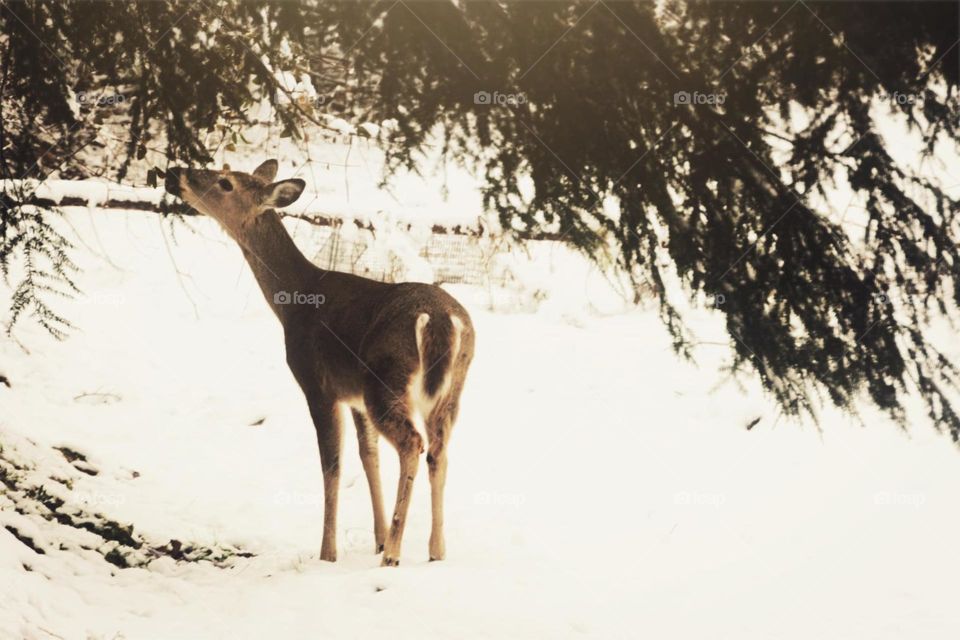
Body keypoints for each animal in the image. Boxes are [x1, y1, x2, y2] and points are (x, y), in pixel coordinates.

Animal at [163, 159, 475, 566]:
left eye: (225, 182)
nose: (174, 173)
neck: (293, 302)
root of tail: (440, 319)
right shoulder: (353, 395)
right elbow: (368, 456)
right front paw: (376, 538)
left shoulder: (317, 383)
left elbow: (332, 466)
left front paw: (329, 554)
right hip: (447, 391)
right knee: (438, 451)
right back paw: (435, 550)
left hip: (386, 378)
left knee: (413, 443)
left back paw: (394, 554)